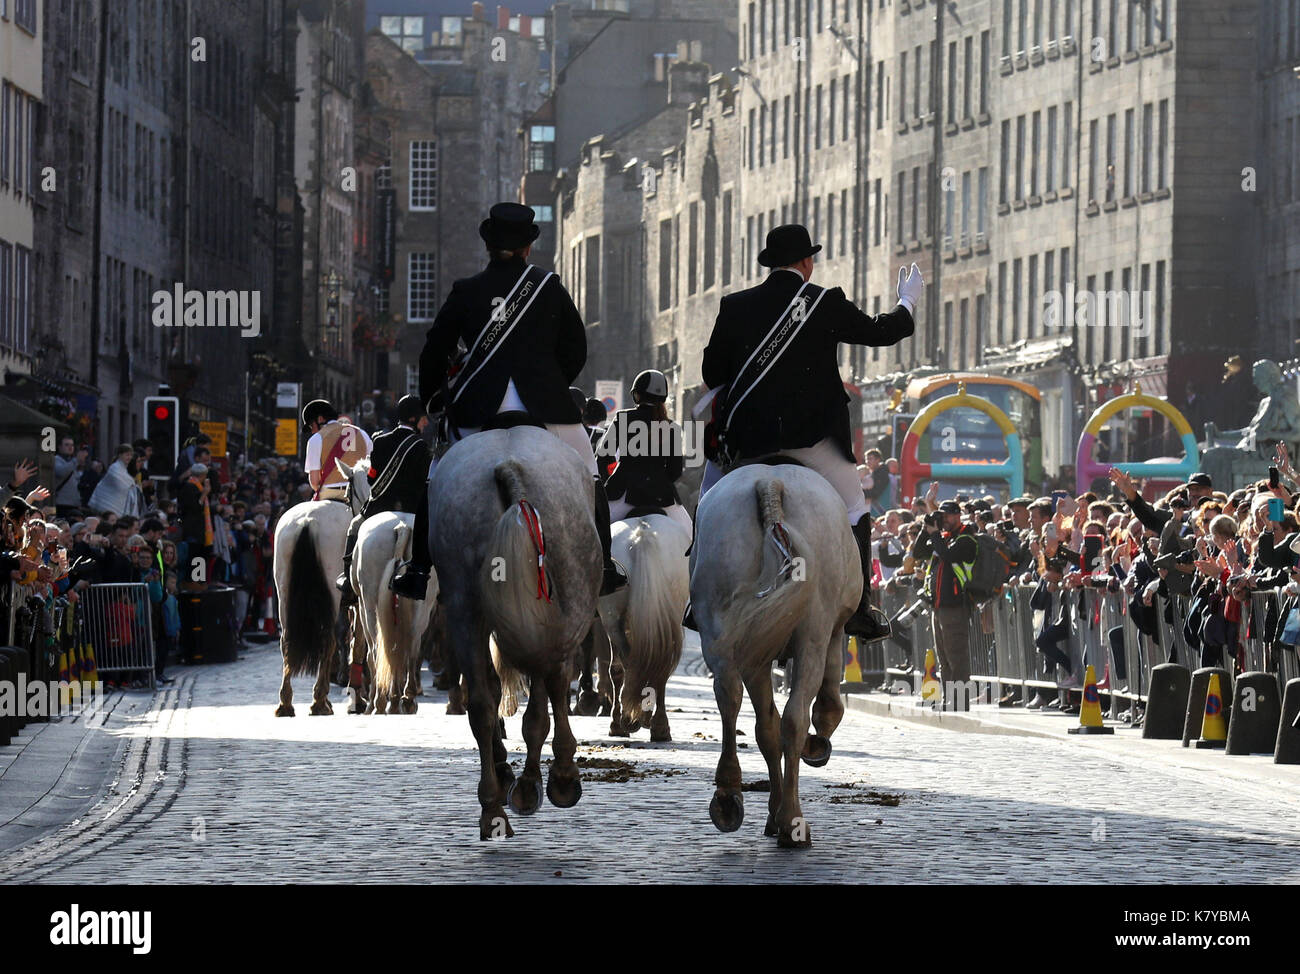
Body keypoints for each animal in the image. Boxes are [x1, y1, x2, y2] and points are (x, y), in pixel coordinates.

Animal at [266, 455, 364, 712]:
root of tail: (307, 521)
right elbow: (357, 642)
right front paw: (356, 694)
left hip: (284, 592)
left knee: (287, 639)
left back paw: (286, 702)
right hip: (330, 592)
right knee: (328, 638)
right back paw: (320, 700)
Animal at [431, 423, 603, 837]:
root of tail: (507, 464)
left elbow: (496, 694)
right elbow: (547, 693)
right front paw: (545, 778)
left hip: (463, 604)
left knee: (481, 702)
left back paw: (492, 804)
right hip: (570, 596)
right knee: (551, 678)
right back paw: (552, 778)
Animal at [595, 517, 691, 738]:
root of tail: (642, 536)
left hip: (611, 618)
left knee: (624, 665)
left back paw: (622, 721)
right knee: (658, 668)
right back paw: (657, 724)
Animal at [691, 462, 863, 842]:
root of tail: (770, 483)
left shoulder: (757, 654)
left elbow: (766, 730)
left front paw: (770, 810)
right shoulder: (832, 631)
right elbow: (828, 699)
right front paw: (819, 740)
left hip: (721, 628)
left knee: (730, 697)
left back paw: (728, 795)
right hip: (812, 634)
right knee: (795, 718)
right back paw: (792, 820)